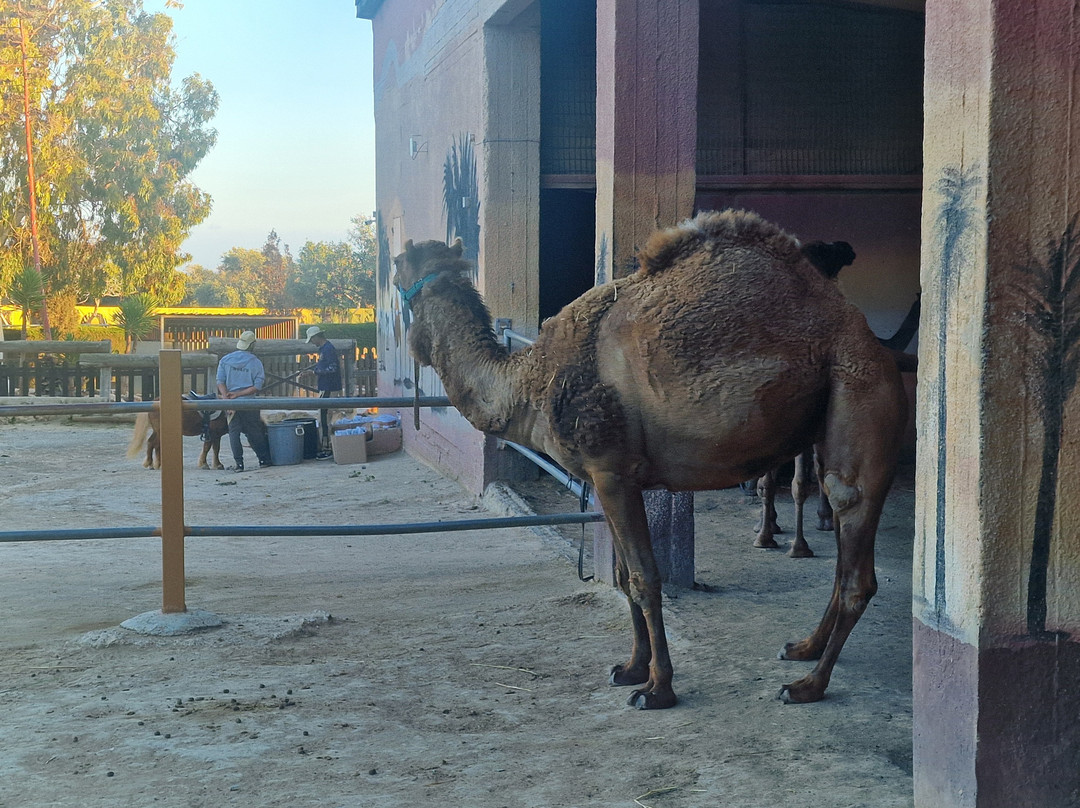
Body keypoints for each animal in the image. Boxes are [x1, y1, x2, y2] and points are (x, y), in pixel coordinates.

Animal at [393, 209, 906, 708]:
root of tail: (873, 343)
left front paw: (657, 689)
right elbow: (623, 576)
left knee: (855, 555)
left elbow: (644, 578)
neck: (532, 381)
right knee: (839, 549)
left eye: (396, 270)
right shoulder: (604, 480)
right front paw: (631, 668)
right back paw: (804, 648)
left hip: (861, 393)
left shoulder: (611, 471)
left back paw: (807, 685)